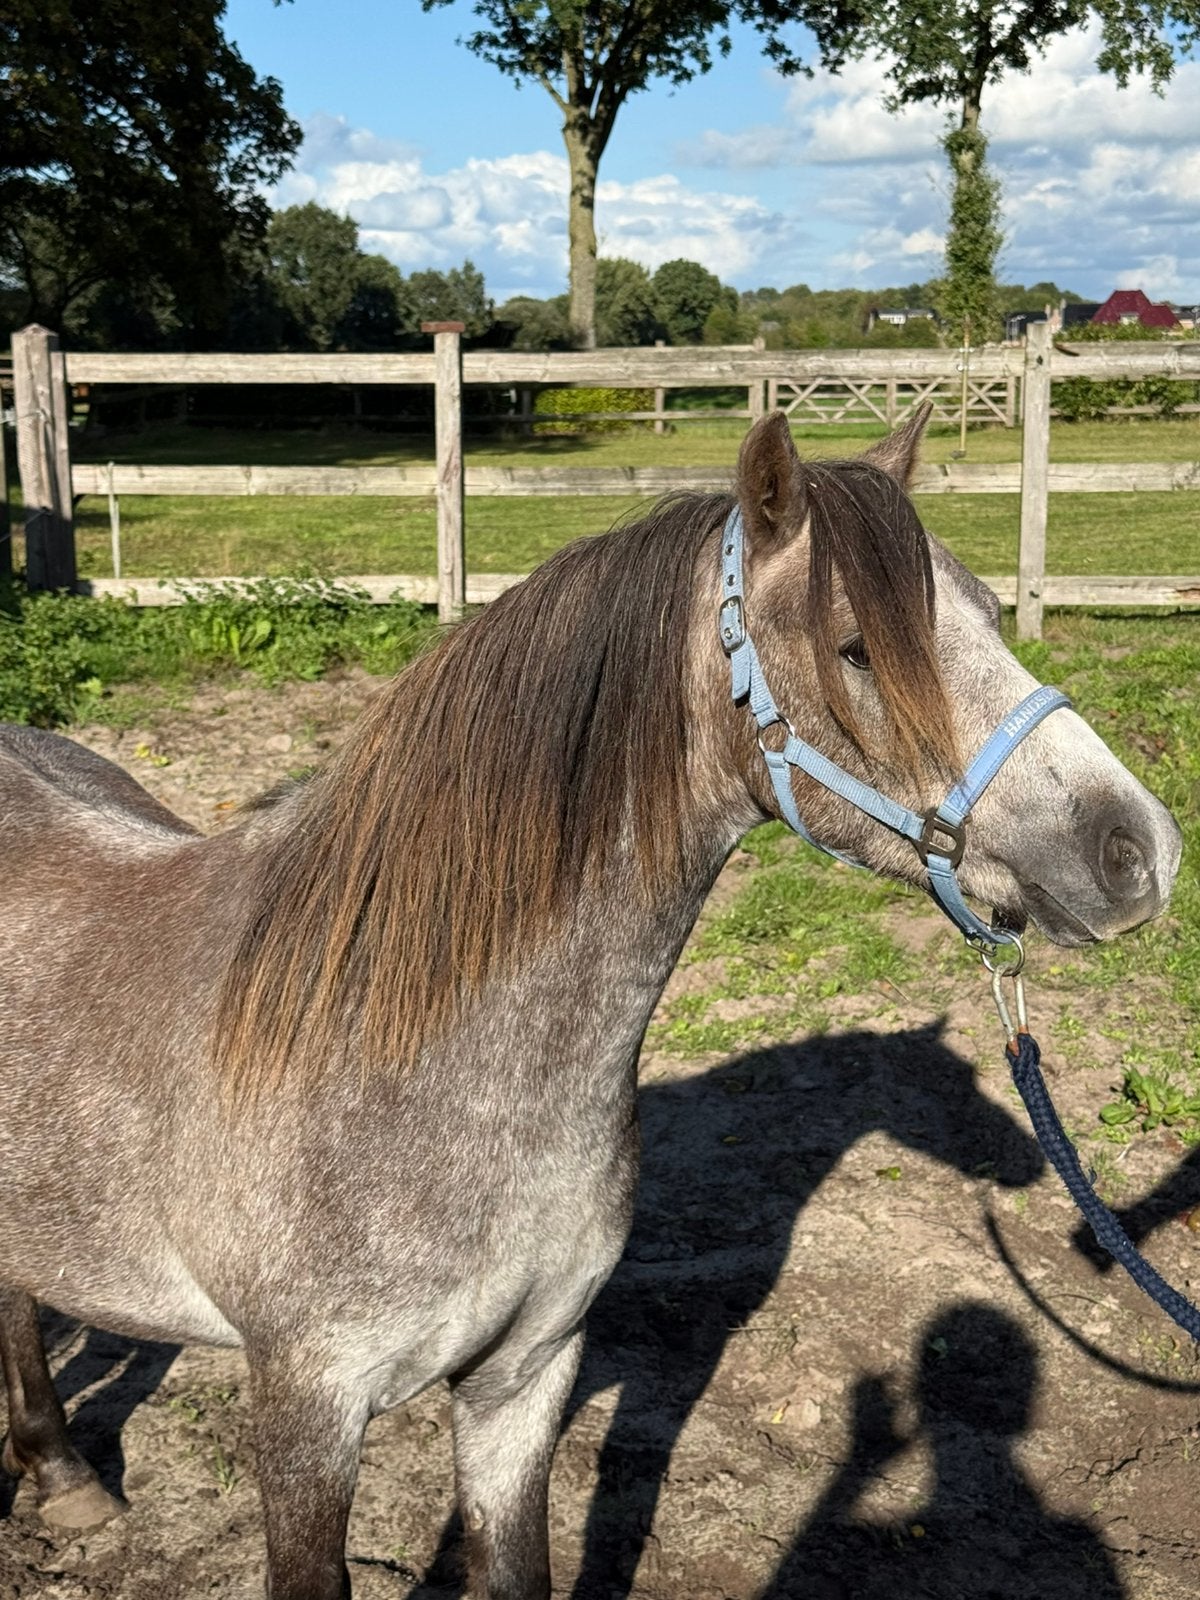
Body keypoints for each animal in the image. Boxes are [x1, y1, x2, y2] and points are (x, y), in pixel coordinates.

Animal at [0, 407, 1180, 1600]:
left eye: (989, 612)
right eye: (858, 648)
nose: (1140, 849)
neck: (410, 1068)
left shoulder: (524, 1383)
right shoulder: (304, 1418)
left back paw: (63, 1474)